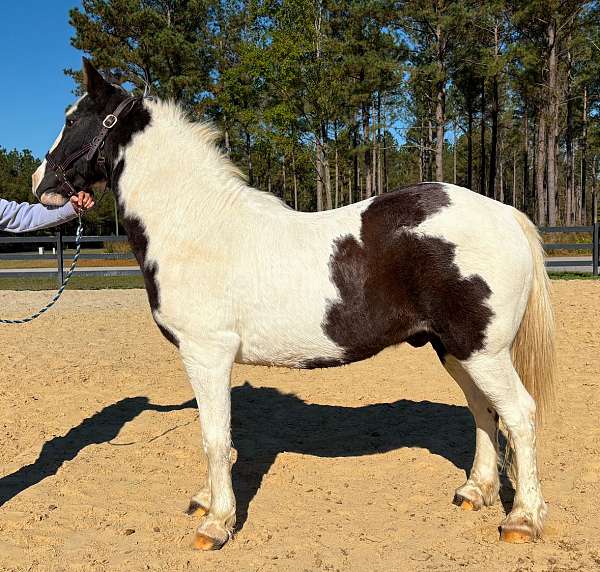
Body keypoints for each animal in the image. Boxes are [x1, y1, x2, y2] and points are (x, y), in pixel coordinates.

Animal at [31, 59, 556, 548]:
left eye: (74, 119)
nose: (40, 183)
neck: (196, 225)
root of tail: (505, 213)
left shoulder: (206, 354)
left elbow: (214, 437)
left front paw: (217, 523)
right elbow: (216, 434)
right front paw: (205, 500)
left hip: (483, 352)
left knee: (520, 415)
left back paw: (522, 519)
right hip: (454, 349)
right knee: (483, 411)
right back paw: (476, 491)